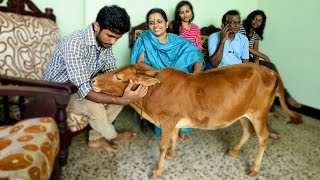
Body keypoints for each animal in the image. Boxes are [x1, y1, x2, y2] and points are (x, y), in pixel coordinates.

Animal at [91, 62, 302, 179]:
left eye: (118, 77)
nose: (93, 80)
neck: (153, 92)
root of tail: (270, 72)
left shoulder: (168, 122)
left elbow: (162, 146)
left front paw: (158, 171)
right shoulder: (174, 123)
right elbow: (174, 139)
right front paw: (171, 155)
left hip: (259, 114)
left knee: (263, 137)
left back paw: (255, 169)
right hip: (241, 113)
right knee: (247, 131)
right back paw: (233, 151)